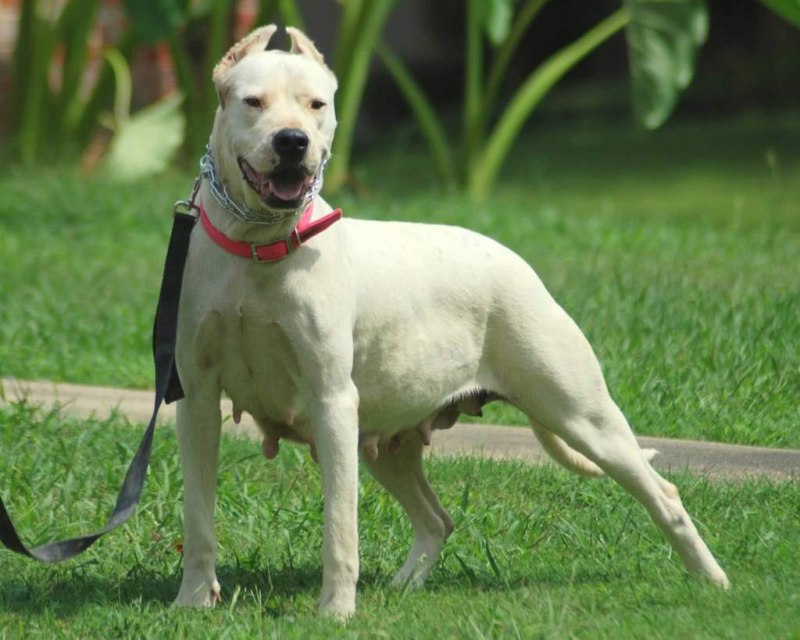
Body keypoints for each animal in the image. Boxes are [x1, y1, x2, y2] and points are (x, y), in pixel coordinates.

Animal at [173, 25, 729, 618]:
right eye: (253, 102)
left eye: (316, 105)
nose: (292, 142)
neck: (260, 245)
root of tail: (516, 262)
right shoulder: (198, 398)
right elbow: (199, 514)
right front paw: (193, 600)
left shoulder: (331, 401)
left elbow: (340, 526)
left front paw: (336, 611)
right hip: (386, 438)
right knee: (437, 519)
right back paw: (403, 585)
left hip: (583, 416)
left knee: (661, 491)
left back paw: (711, 580)